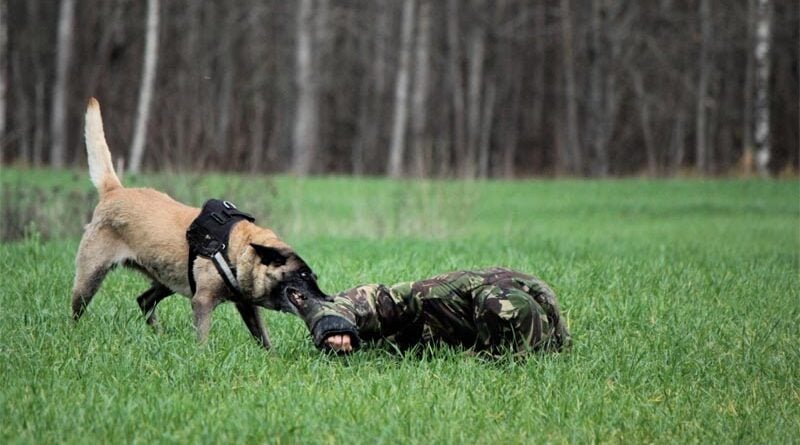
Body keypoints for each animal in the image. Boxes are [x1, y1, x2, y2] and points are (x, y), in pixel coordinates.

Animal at [71, 99, 328, 348]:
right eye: (303, 275)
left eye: (313, 276)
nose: (326, 298)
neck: (237, 249)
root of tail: (114, 190)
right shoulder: (202, 301)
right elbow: (203, 339)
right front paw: (202, 355)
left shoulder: (247, 306)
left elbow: (264, 338)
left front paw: (271, 356)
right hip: (90, 277)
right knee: (78, 309)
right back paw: (74, 333)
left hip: (168, 279)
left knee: (144, 301)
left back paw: (160, 336)